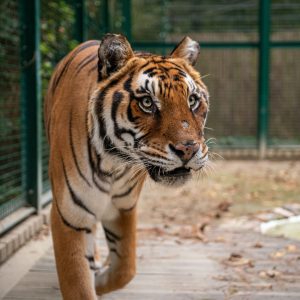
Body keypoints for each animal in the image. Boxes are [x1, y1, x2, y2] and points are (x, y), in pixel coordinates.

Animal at [44, 34, 209, 298]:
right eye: (147, 102)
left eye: (192, 101)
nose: (188, 149)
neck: (115, 163)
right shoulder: (70, 215)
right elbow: (78, 283)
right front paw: (92, 280)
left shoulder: (123, 207)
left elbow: (125, 268)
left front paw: (100, 281)